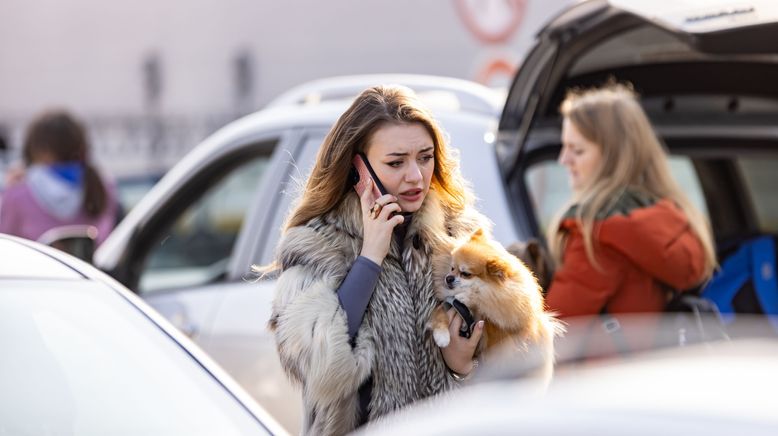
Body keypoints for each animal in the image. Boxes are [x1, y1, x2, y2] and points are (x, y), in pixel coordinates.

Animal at [428, 228, 560, 382]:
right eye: (452, 268)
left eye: (465, 274)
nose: (448, 278)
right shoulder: (447, 305)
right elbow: (438, 314)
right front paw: (442, 336)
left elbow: (484, 302)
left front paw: (470, 298)